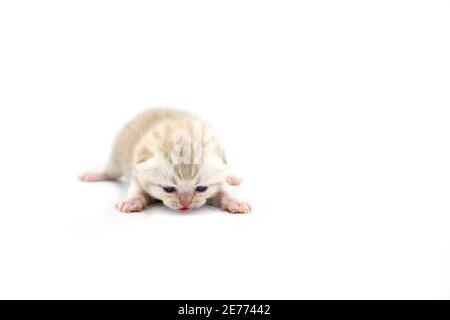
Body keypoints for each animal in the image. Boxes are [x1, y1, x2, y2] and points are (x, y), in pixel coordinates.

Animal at [79, 108, 251, 215]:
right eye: (168, 189)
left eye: (201, 188)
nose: (185, 204)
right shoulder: (138, 170)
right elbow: (136, 189)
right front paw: (131, 201)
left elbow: (225, 191)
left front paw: (236, 202)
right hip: (118, 153)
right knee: (111, 170)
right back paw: (94, 175)